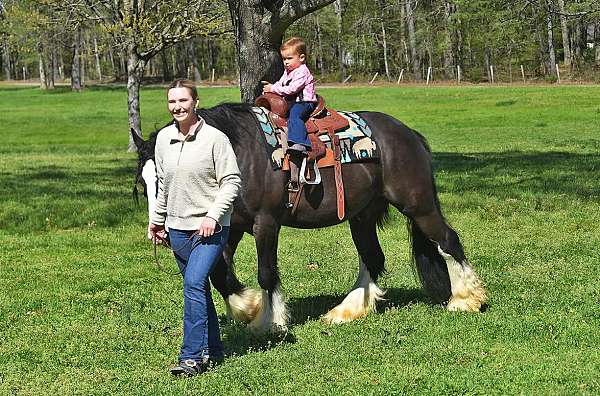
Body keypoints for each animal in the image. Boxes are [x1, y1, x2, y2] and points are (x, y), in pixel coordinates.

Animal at [132, 103, 488, 332]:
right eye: (145, 183)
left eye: (167, 175)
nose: (161, 232)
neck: (239, 154)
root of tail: (409, 135)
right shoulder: (229, 227)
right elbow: (220, 274)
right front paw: (246, 308)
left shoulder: (265, 223)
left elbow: (266, 273)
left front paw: (270, 321)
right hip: (361, 216)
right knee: (373, 258)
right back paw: (347, 310)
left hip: (418, 204)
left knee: (447, 241)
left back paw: (465, 300)